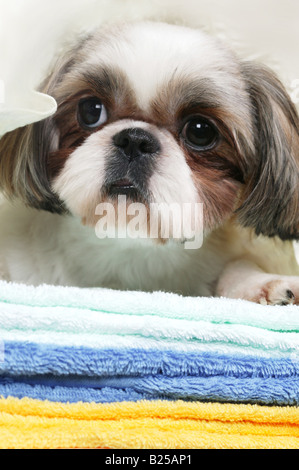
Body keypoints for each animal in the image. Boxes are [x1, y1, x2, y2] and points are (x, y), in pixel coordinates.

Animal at [0, 21, 299, 304]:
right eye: (91, 110)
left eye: (200, 131)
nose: (135, 140)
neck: (131, 246)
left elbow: (237, 266)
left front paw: (263, 284)